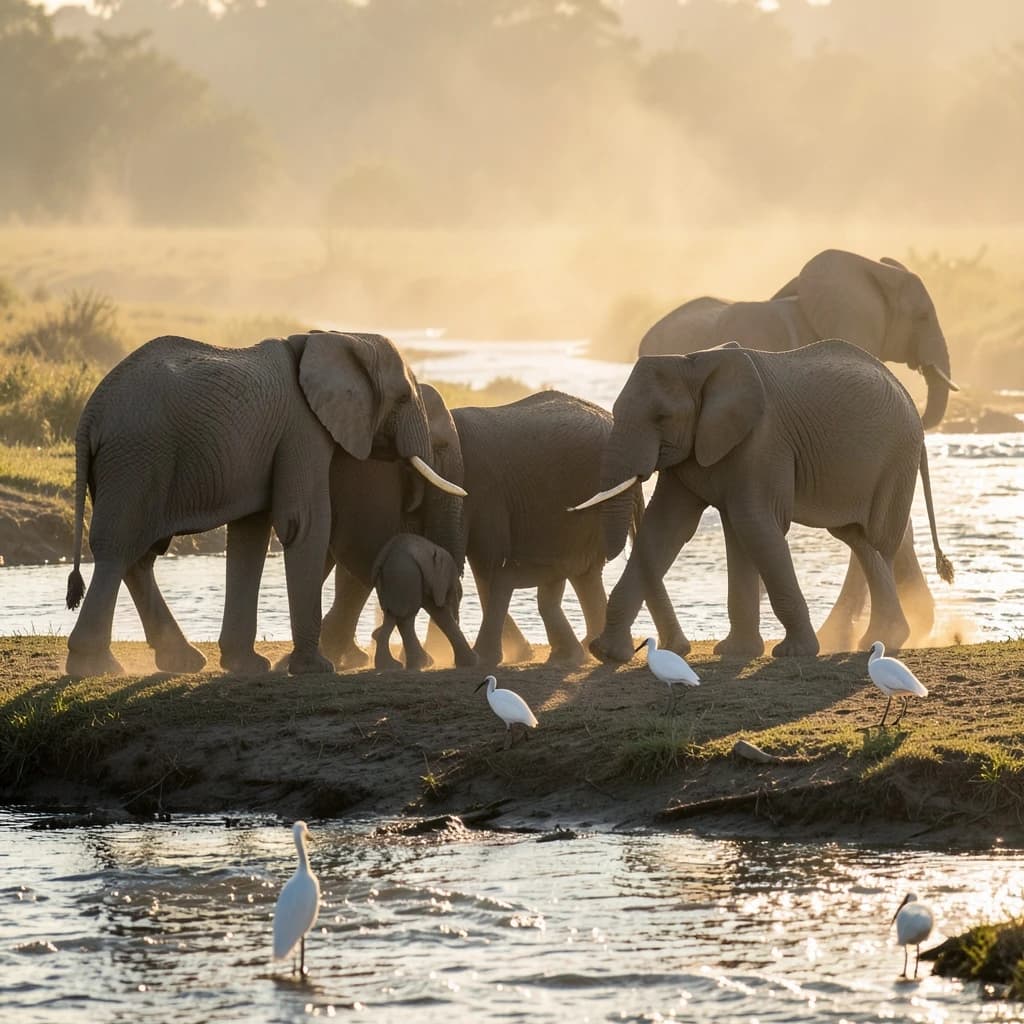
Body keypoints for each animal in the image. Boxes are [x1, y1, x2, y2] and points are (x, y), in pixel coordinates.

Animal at [64, 331, 465, 679]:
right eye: (403, 398)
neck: (339, 336)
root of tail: (89, 415)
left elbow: (250, 536)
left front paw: (247, 666)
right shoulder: (303, 430)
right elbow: (303, 524)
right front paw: (314, 669)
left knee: (139, 555)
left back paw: (181, 661)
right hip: (137, 457)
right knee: (118, 548)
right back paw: (96, 666)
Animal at [369, 533, 478, 671]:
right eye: (457, 592)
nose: (457, 619)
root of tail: (383, 558)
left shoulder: (425, 578)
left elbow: (436, 610)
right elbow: (440, 610)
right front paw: (473, 662)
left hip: (396, 580)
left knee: (394, 615)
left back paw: (393, 664)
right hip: (405, 576)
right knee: (405, 617)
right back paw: (413, 664)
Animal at [573, 340, 954, 663]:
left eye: (661, 418)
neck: (693, 363)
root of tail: (911, 402)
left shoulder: (763, 441)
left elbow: (754, 524)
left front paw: (793, 653)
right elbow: (668, 527)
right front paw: (608, 654)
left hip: (895, 461)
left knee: (876, 541)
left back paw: (884, 640)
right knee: (858, 539)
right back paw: (882, 639)